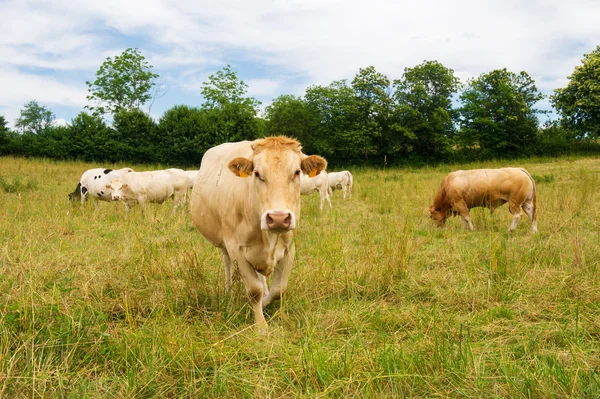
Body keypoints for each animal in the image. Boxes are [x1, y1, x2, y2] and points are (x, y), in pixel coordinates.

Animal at [191, 136, 328, 326]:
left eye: (297, 172)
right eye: (257, 173)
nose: (278, 218)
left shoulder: (289, 248)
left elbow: (278, 289)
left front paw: (265, 302)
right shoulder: (237, 249)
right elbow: (254, 291)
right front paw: (261, 326)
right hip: (224, 244)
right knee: (228, 266)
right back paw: (229, 294)